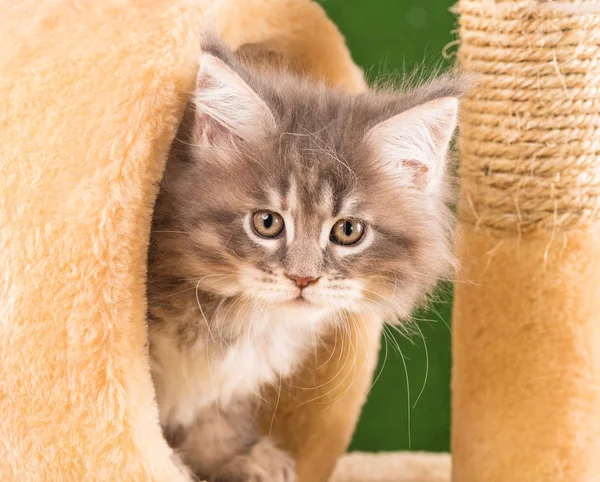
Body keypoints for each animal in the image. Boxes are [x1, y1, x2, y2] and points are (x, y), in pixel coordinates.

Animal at [146, 38, 464, 482]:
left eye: (347, 231)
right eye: (267, 222)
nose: (303, 278)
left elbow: (217, 412)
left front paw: (236, 457)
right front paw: (168, 464)